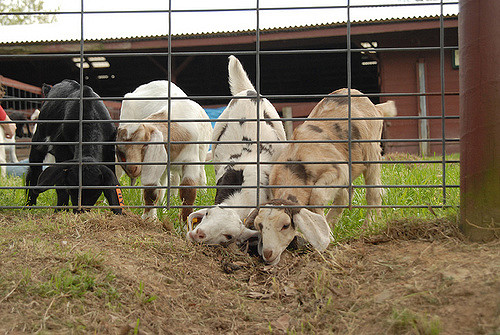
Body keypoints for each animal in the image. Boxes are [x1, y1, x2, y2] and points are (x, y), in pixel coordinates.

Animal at [25, 80, 123, 214]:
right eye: (71, 190)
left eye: (96, 193)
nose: (80, 211)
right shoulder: (61, 151)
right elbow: (60, 187)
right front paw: (61, 210)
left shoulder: (109, 152)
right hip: (38, 139)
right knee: (33, 171)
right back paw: (29, 205)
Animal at [116, 80, 212, 223]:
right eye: (121, 151)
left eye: (145, 144)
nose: (132, 168)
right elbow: (152, 191)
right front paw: (149, 218)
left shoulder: (191, 160)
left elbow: (188, 191)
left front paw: (185, 221)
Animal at [244, 88, 396, 266]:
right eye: (259, 226)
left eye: (285, 225)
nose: (268, 253)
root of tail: (375, 107)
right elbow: (337, 199)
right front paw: (328, 230)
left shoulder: (338, 170)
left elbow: (317, 197)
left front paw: (328, 234)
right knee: (348, 194)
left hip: (372, 153)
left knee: (374, 192)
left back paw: (370, 224)